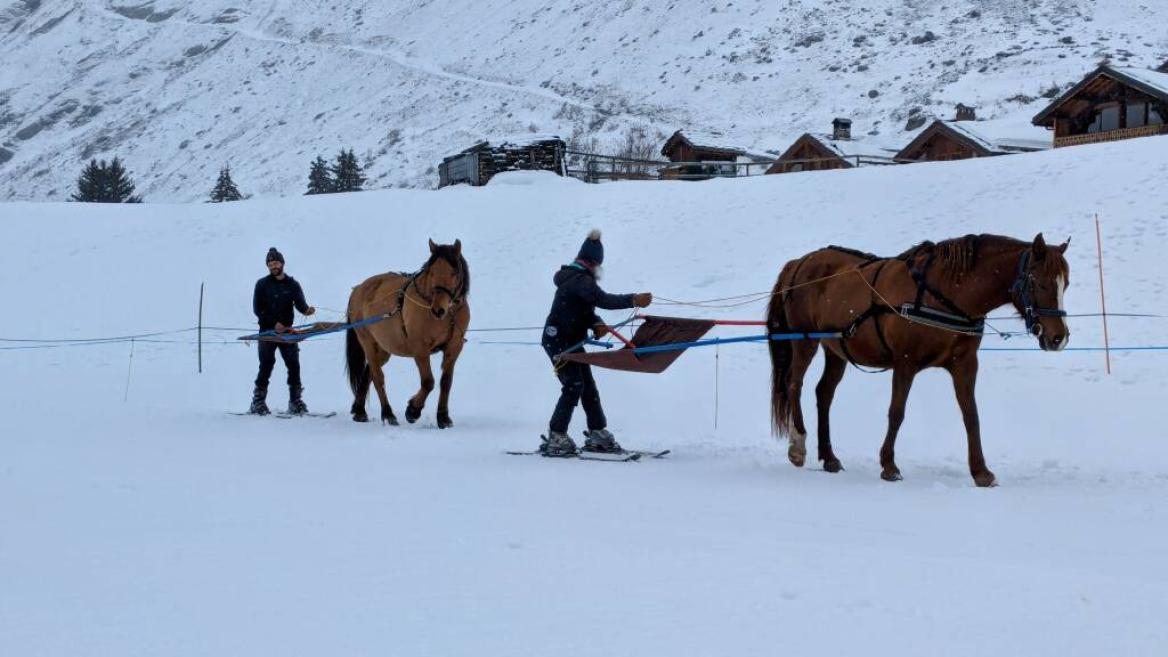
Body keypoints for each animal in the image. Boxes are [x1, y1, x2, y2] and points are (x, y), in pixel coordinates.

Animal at [345, 237, 469, 427]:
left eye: (454, 273)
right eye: (431, 272)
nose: (438, 310)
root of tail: (358, 289)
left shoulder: (454, 347)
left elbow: (446, 382)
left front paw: (443, 417)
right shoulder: (420, 349)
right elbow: (428, 382)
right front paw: (413, 410)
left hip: (383, 348)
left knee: (368, 374)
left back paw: (359, 411)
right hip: (367, 342)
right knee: (378, 377)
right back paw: (388, 414)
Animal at [766, 232, 1069, 483]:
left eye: (1065, 284)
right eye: (1038, 282)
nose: (1059, 337)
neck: (947, 293)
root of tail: (800, 262)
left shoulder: (965, 364)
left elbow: (971, 415)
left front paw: (981, 471)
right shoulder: (905, 362)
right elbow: (896, 412)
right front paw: (889, 465)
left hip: (836, 349)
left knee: (824, 393)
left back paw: (829, 457)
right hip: (804, 339)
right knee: (794, 384)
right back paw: (798, 445)